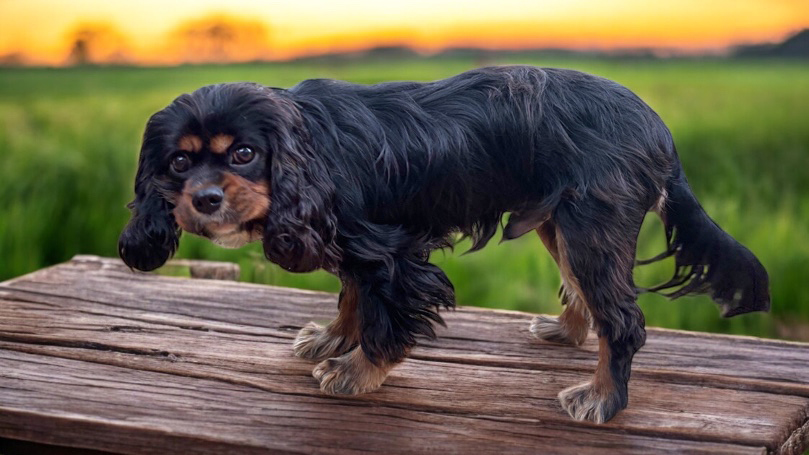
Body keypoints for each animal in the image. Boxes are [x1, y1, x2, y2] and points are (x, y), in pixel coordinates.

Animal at [115, 66, 772, 426]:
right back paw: (566, 333)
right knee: (587, 294)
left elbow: (384, 319)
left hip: (591, 223)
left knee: (624, 318)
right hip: (561, 222)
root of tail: (656, 125)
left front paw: (357, 370)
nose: (204, 199)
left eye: (244, 154)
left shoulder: (393, 254)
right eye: (179, 163)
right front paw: (333, 339)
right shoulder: (353, 243)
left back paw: (603, 399)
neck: (308, 146)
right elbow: (351, 295)